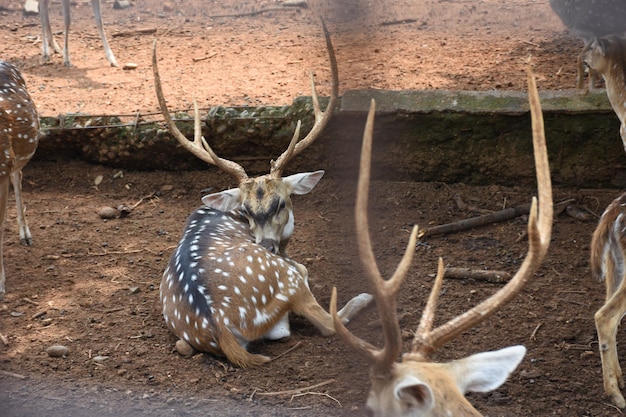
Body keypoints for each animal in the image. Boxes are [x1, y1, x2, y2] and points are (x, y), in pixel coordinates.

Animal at [154, 23, 372, 368]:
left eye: (280, 202)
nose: (267, 245)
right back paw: (365, 297)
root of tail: (220, 325)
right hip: (287, 278)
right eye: (245, 211)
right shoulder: (293, 266)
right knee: (325, 321)